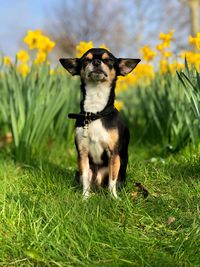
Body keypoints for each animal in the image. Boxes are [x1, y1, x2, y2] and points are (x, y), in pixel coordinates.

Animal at [59, 48, 141, 200]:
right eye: (86, 60)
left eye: (108, 60)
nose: (96, 62)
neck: (95, 113)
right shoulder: (82, 154)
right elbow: (85, 179)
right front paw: (84, 198)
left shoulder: (113, 154)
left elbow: (112, 180)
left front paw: (113, 198)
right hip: (82, 172)